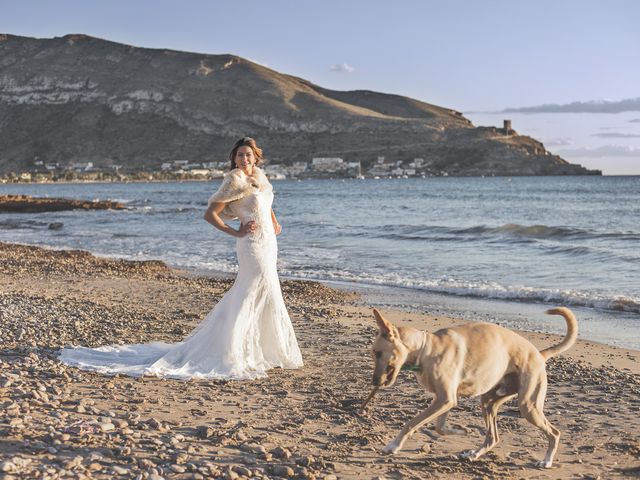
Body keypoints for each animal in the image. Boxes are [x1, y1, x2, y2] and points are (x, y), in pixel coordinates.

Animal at [368, 308, 576, 468]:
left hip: (528, 406)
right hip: (489, 402)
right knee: (493, 437)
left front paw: (393, 446)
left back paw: (546, 461)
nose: (374, 382)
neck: (425, 348)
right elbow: (440, 427)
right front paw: (461, 431)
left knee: (554, 433)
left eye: (378, 353)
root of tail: (540, 355)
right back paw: (474, 454)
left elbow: (412, 423)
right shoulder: (446, 400)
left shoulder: (445, 399)